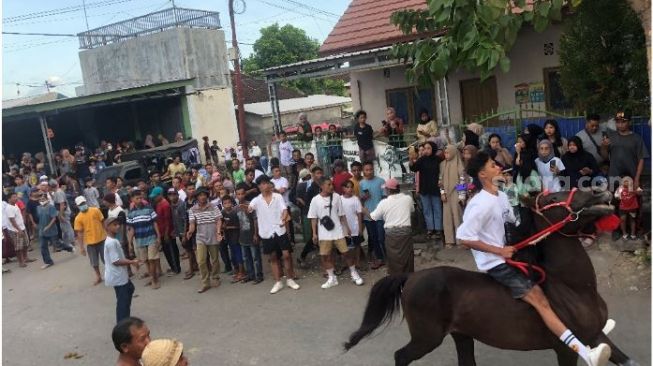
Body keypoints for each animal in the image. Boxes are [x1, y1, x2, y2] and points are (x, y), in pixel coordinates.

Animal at [344, 190, 640, 366]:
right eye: (551, 198)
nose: (600, 190)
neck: (574, 288)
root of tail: (410, 277)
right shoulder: (567, 350)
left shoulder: (597, 335)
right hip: (426, 338)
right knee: (401, 356)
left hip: (461, 335)